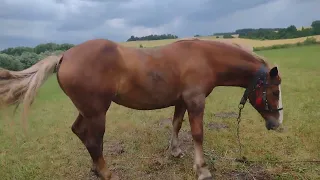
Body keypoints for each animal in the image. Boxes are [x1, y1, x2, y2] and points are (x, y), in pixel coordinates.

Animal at [1, 38, 284, 179]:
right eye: (274, 91)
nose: (277, 124)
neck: (203, 57)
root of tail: (63, 56)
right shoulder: (195, 101)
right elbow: (197, 134)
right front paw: (202, 169)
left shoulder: (181, 101)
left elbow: (176, 125)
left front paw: (175, 151)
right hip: (97, 112)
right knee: (93, 140)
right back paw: (106, 173)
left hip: (87, 110)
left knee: (80, 132)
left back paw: (95, 168)